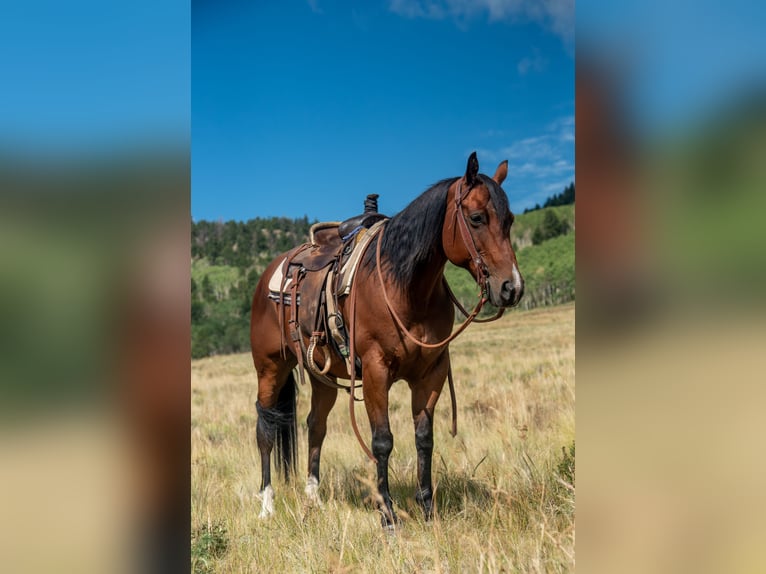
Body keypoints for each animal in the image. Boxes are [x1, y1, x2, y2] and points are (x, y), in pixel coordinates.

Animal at [249, 152, 524, 526]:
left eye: (509, 220)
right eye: (477, 218)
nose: (512, 287)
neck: (407, 288)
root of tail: (269, 275)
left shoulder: (431, 373)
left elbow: (424, 439)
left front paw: (427, 508)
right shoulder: (376, 371)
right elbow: (382, 441)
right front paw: (388, 514)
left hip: (322, 376)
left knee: (315, 426)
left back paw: (313, 500)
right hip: (270, 368)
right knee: (265, 428)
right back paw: (266, 504)